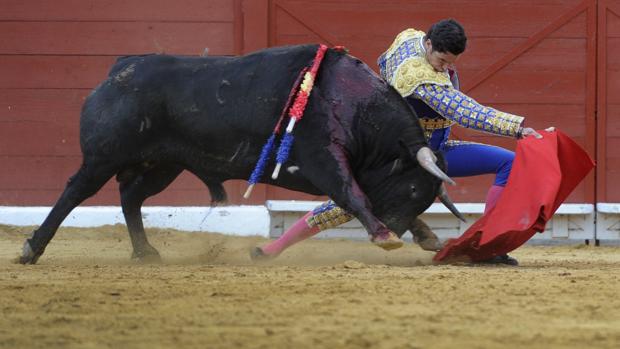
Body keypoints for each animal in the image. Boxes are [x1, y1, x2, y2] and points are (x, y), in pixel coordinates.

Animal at [17, 44, 462, 264]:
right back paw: (31, 249)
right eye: (412, 189)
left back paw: (145, 253)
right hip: (102, 158)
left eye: (424, 196)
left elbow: (360, 194)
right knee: (74, 193)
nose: (398, 230)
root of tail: (118, 70)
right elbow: (352, 193)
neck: (354, 103)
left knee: (130, 197)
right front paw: (385, 236)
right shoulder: (324, 157)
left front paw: (425, 235)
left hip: (162, 164)